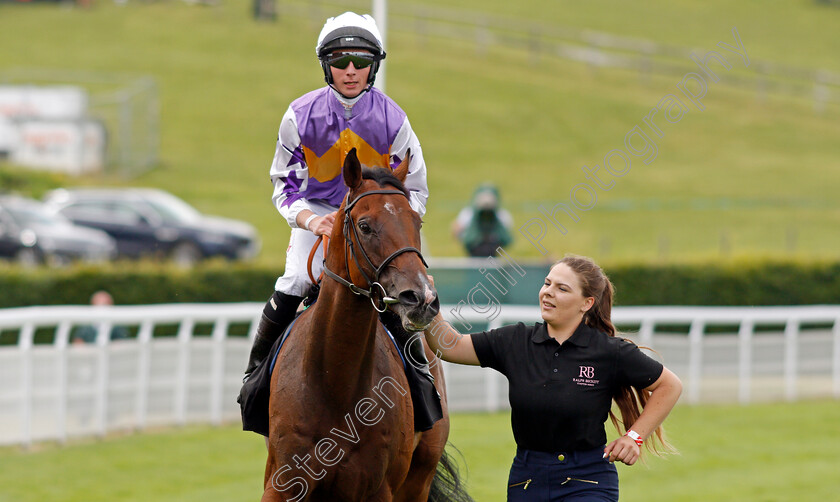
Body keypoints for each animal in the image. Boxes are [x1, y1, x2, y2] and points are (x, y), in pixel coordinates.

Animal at [264, 147, 466, 500]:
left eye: (417, 221)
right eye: (364, 225)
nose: (422, 299)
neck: (334, 380)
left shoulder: (377, 487)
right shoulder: (281, 481)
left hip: (420, 475)